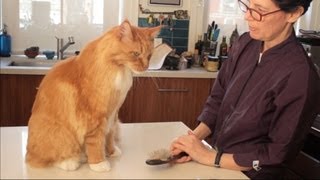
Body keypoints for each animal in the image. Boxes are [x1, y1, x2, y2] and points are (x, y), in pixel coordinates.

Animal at [25, 20, 161, 172]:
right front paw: (98, 163)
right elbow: (96, 142)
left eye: (149, 56)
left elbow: (109, 135)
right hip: (60, 135)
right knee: (46, 159)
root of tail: (29, 152)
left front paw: (111, 151)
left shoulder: (113, 114)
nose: (146, 67)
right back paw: (71, 162)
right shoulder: (96, 116)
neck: (118, 68)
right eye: (136, 53)